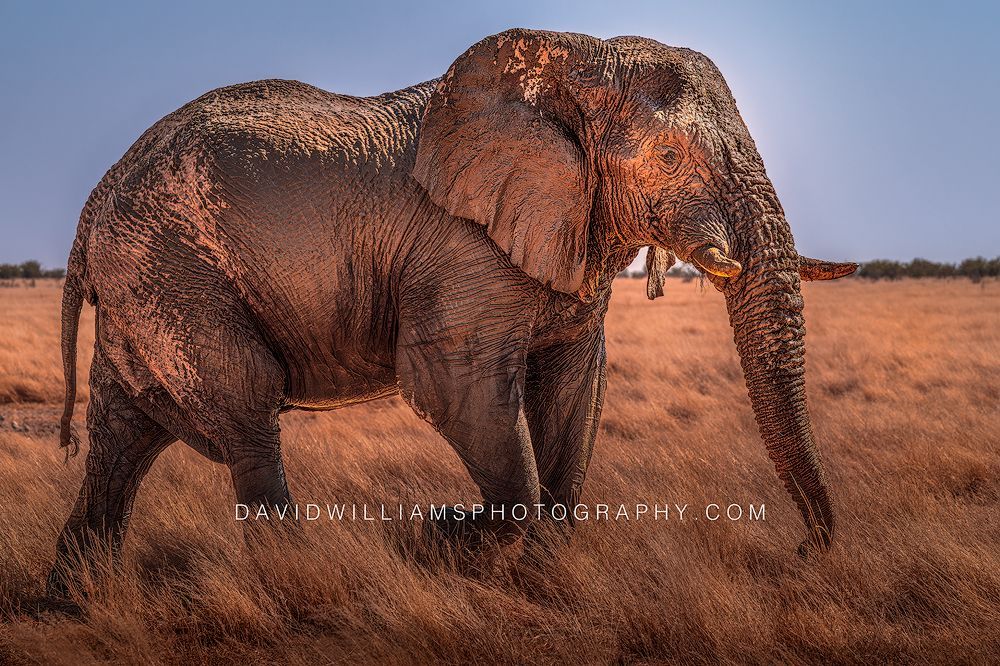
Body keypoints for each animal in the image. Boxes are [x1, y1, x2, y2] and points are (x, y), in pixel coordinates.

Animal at [50, 28, 856, 590]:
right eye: (667, 159)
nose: (804, 549)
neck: (574, 56)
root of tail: (91, 206)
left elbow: (574, 389)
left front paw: (535, 576)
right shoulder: (461, 248)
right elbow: (451, 384)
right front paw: (434, 535)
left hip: (144, 279)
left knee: (125, 430)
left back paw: (77, 598)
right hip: (170, 269)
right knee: (244, 404)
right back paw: (294, 582)